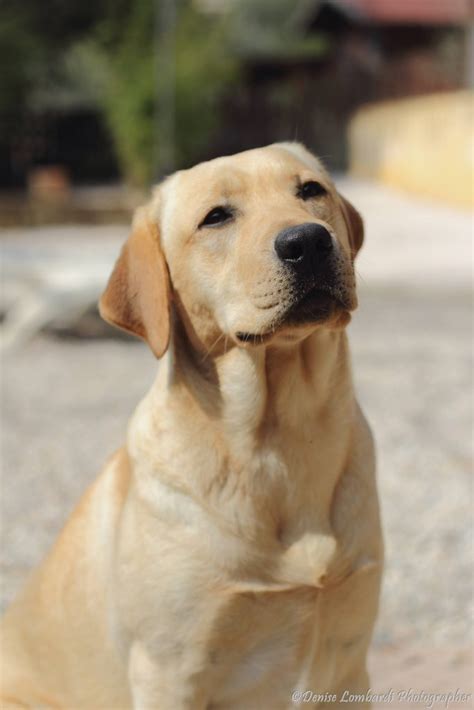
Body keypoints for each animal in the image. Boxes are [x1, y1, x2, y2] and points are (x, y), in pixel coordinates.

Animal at [0, 142, 384, 708]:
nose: (308, 241)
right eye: (216, 217)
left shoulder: (347, 663)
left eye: (311, 190)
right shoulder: (168, 672)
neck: (280, 441)